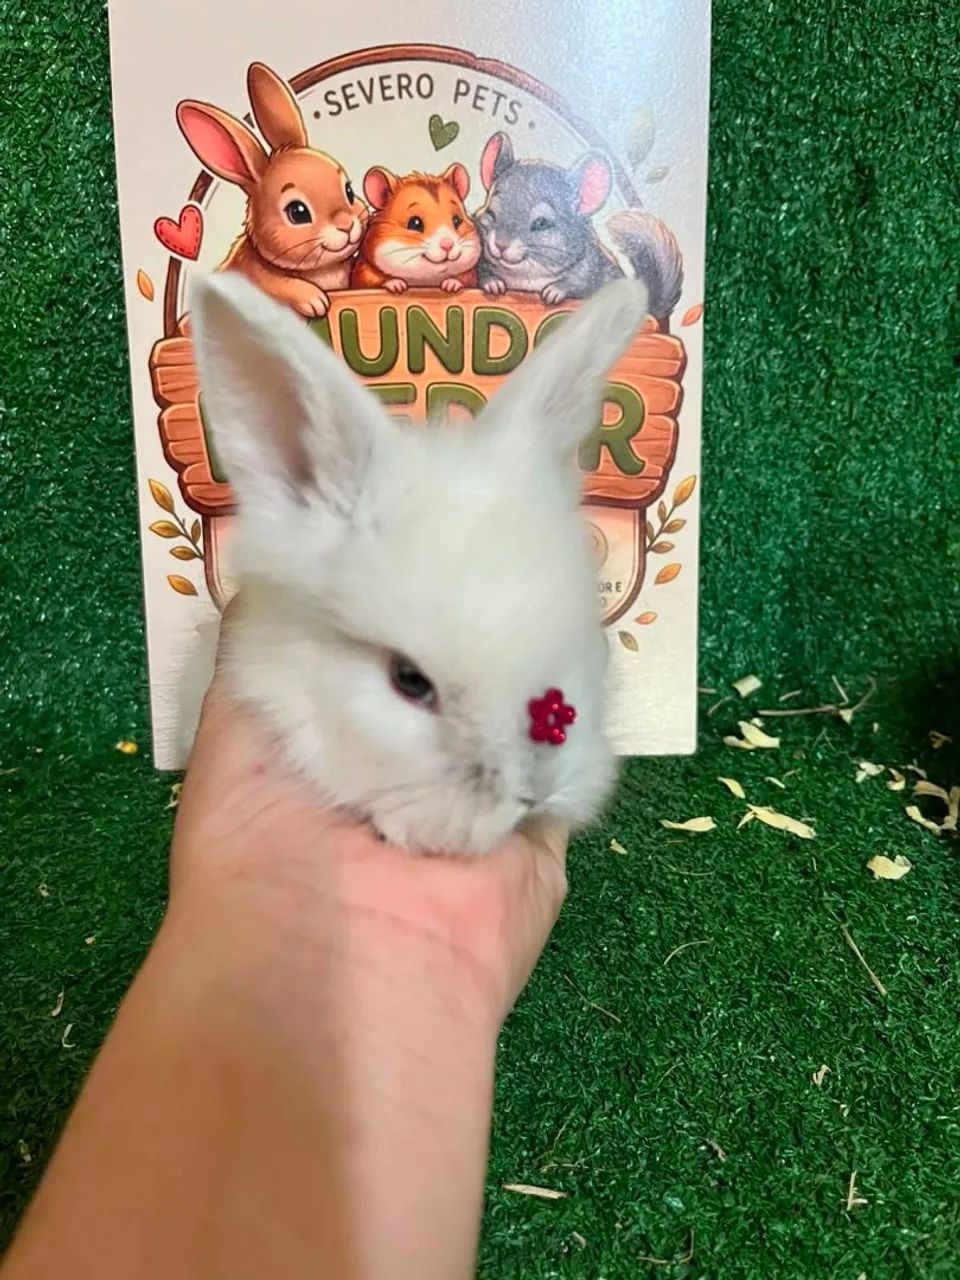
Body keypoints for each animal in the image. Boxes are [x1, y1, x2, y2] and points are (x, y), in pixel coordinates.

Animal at [177, 63, 368, 318]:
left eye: (348, 191)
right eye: (297, 212)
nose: (346, 225)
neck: (321, 271)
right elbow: (279, 285)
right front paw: (314, 299)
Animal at [475, 131, 682, 317]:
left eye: (541, 223)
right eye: (491, 212)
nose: (501, 244)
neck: (527, 279)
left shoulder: (592, 275)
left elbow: (576, 283)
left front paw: (553, 292)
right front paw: (493, 284)